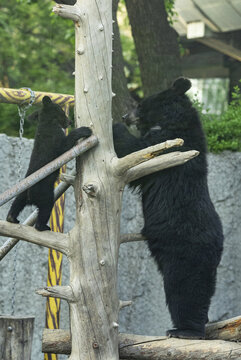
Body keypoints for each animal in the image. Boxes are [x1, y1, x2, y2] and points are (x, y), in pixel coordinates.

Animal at [6, 95, 92, 231]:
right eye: (62, 112)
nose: (70, 122)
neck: (47, 122)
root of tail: (30, 196)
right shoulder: (54, 139)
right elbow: (64, 146)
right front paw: (84, 130)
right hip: (45, 193)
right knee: (46, 207)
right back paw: (43, 226)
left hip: (22, 191)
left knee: (17, 202)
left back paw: (11, 218)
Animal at [114, 77, 223, 338]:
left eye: (140, 104)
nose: (124, 115)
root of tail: (217, 246)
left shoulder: (168, 144)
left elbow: (135, 151)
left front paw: (113, 127)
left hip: (185, 249)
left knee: (184, 289)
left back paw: (185, 330)